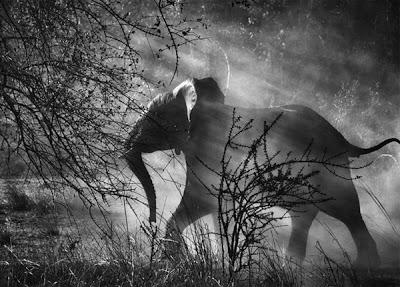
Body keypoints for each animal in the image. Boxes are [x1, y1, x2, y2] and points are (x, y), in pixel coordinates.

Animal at [123, 77, 398, 268]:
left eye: (154, 116)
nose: (150, 220)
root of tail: (343, 139)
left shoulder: (211, 153)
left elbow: (200, 202)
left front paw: (172, 262)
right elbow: (213, 208)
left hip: (329, 167)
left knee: (347, 210)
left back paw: (364, 267)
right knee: (306, 216)